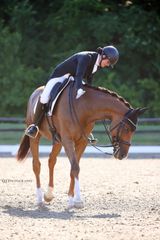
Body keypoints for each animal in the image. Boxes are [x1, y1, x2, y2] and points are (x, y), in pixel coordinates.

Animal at [16, 83, 146, 207]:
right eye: (126, 128)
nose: (123, 154)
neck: (84, 108)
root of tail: (37, 90)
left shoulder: (81, 142)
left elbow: (74, 168)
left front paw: (71, 199)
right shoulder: (68, 141)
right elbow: (75, 168)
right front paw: (78, 201)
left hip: (58, 141)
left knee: (51, 161)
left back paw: (48, 195)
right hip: (35, 137)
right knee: (36, 165)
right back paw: (39, 199)